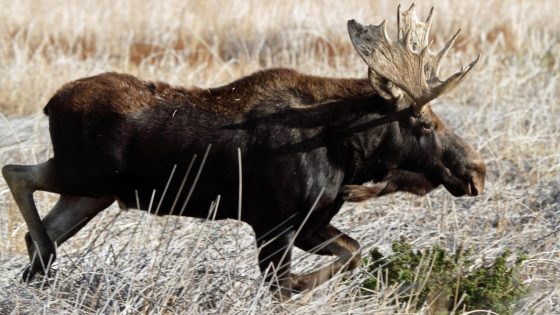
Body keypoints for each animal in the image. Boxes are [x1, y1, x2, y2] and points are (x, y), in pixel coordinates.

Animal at [3, 6, 486, 300]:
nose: (476, 170)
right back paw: (43, 258)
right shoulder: (274, 221)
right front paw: (303, 283)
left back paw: (38, 268)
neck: (349, 154)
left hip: (92, 193)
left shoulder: (310, 223)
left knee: (42, 221)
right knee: (16, 172)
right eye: (424, 122)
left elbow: (353, 252)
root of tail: (50, 102)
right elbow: (284, 282)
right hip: (83, 174)